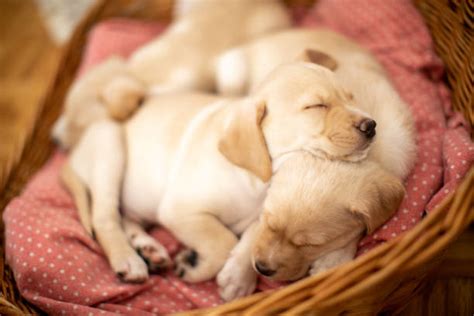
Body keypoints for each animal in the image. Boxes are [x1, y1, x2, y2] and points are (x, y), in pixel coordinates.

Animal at [62, 60, 378, 286]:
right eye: (316, 106)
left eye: (351, 98)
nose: (371, 125)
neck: (258, 179)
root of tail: (73, 153)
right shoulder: (180, 210)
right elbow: (223, 240)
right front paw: (196, 268)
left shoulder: (262, 216)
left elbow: (250, 239)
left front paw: (238, 278)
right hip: (110, 144)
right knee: (105, 217)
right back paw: (129, 260)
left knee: (124, 216)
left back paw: (148, 247)